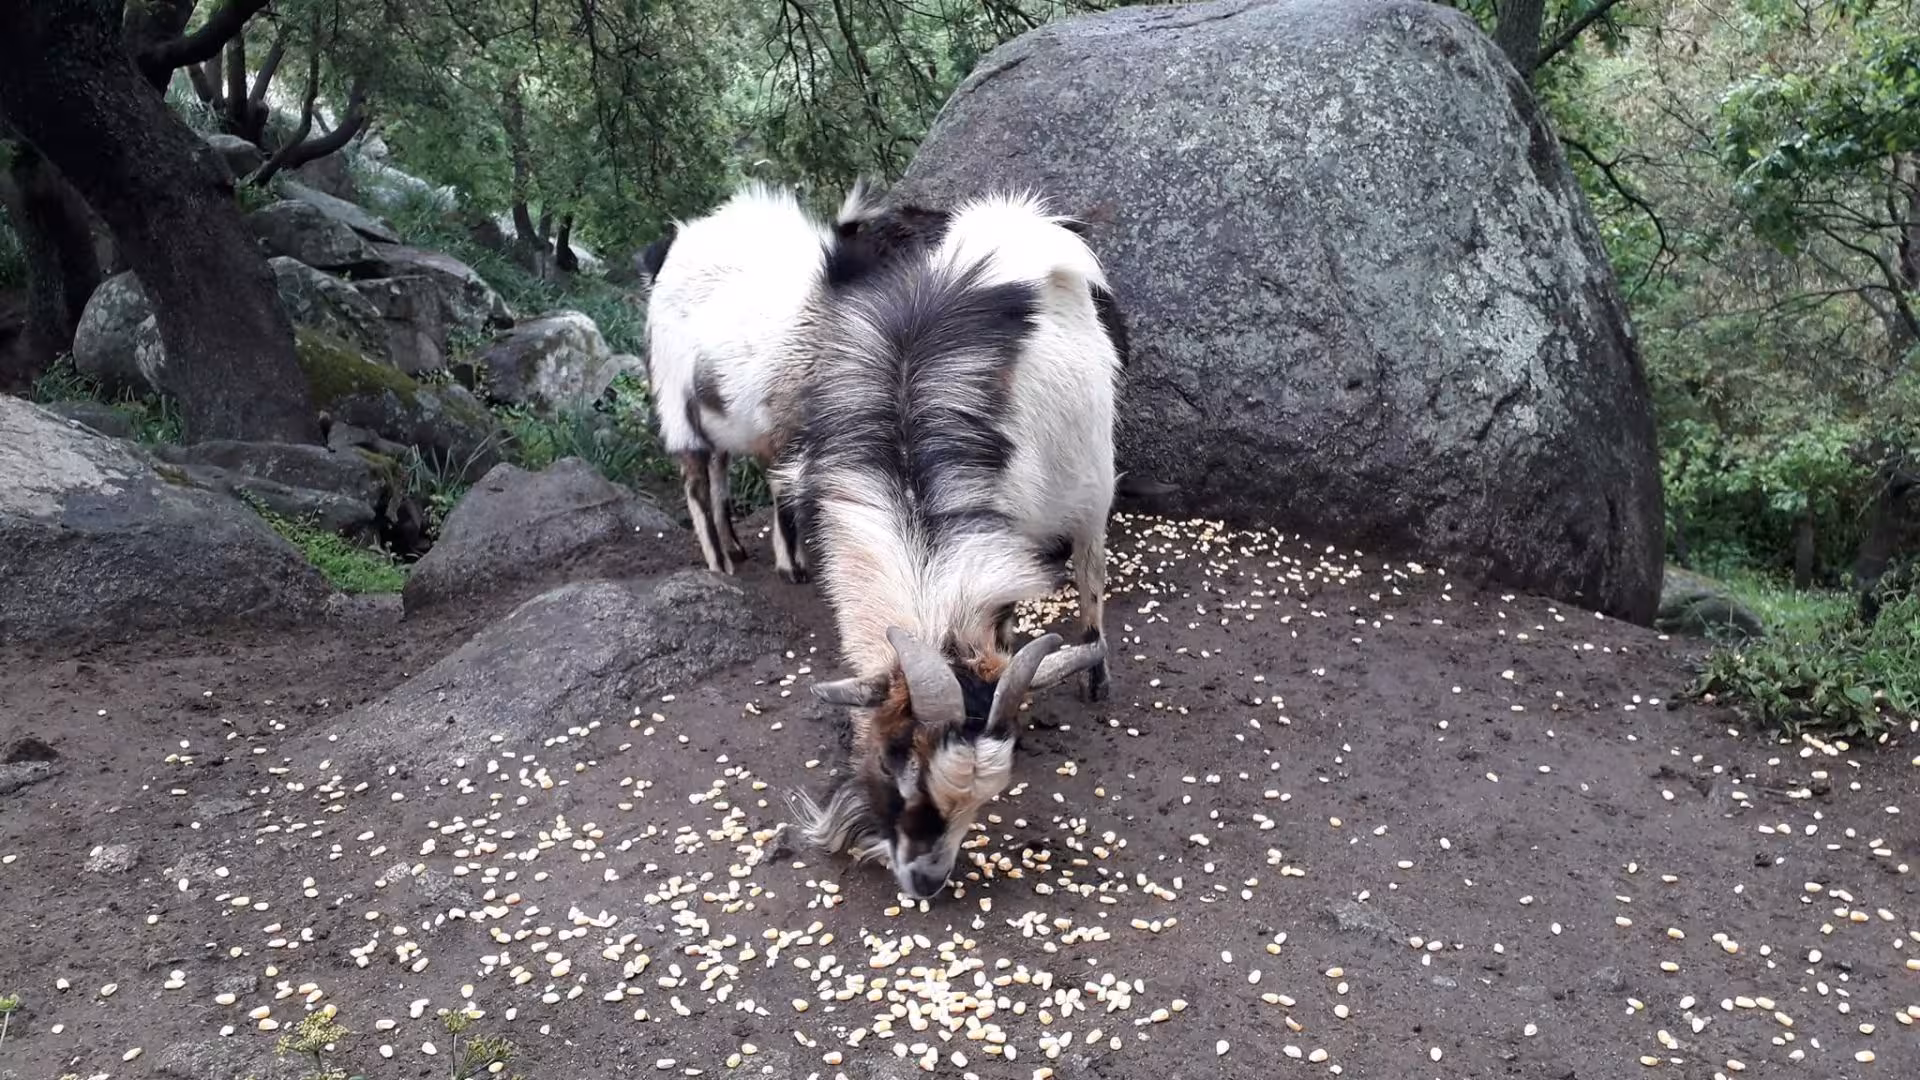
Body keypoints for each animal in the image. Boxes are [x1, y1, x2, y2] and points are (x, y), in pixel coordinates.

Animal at [782, 191, 1125, 900]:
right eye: (897, 764)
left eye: (984, 801)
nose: (926, 882)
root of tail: (1022, 225)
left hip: (1092, 480)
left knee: (1091, 573)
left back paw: (1095, 670)